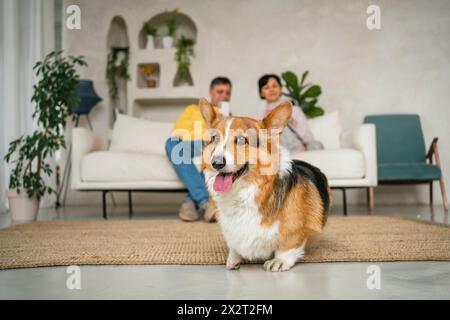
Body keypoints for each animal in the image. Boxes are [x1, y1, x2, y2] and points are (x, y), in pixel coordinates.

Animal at [200, 99, 330, 272]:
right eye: (215, 138)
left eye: (242, 140)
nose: (217, 163)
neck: (246, 192)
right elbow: (234, 244)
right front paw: (234, 257)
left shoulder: (293, 231)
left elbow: (287, 244)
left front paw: (279, 261)